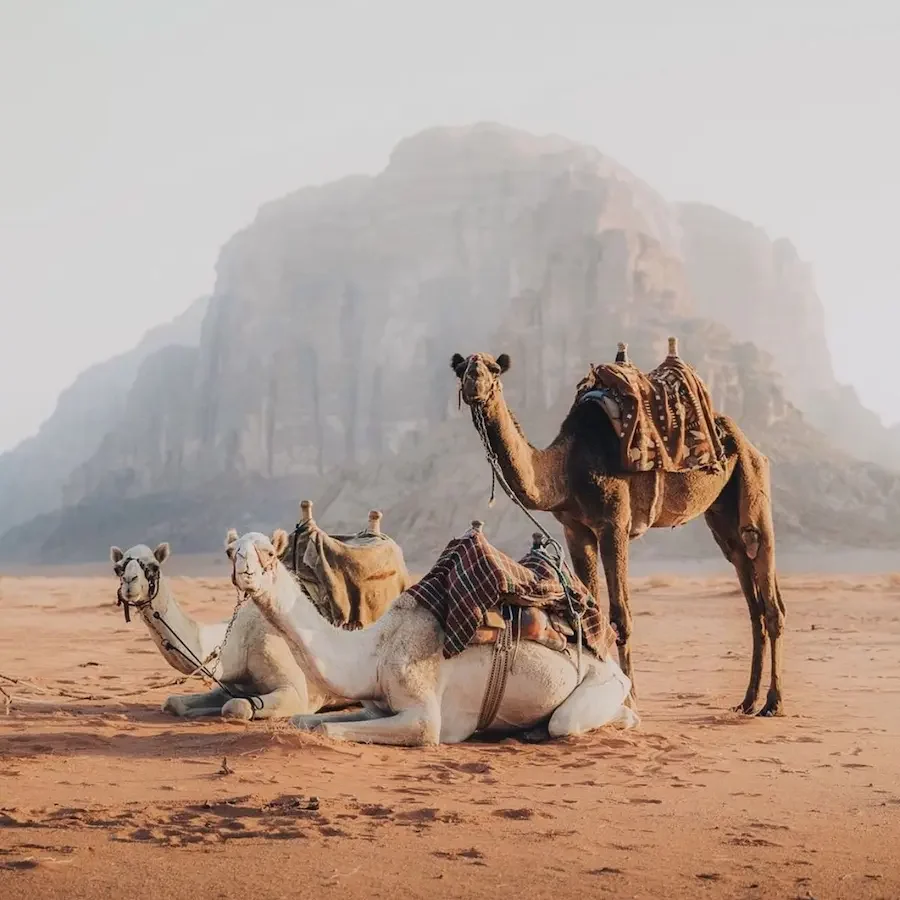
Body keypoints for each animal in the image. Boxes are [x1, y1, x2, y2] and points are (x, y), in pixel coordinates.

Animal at [227, 528, 640, 744]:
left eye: (268, 553)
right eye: (232, 551)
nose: (245, 572)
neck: (373, 652)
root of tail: (614, 669)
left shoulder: (425, 714)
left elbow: (331, 728)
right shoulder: (374, 706)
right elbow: (303, 721)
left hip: (599, 683)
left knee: (568, 722)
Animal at [454, 348, 784, 712]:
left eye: (494, 368)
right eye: (461, 368)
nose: (473, 382)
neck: (566, 466)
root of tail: (743, 438)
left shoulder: (614, 524)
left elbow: (620, 618)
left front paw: (630, 700)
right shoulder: (575, 529)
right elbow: (589, 614)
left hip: (752, 480)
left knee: (766, 581)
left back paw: (772, 702)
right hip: (721, 511)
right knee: (746, 578)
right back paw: (748, 700)